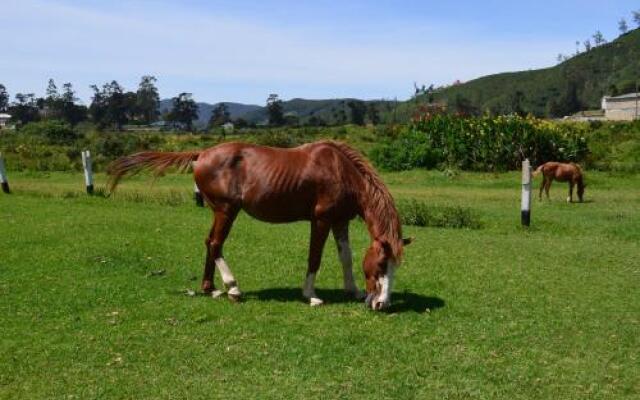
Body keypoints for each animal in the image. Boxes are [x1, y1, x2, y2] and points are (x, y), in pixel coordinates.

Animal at [107, 140, 412, 310]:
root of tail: (202, 154)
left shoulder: (340, 221)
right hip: (227, 210)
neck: (340, 171)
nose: (382, 304)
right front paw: (310, 295)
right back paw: (232, 288)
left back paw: (210, 288)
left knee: (209, 243)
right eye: (382, 264)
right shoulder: (321, 221)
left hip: (220, 212)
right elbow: (314, 258)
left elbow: (346, 258)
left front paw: (354, 291)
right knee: (216, 244)